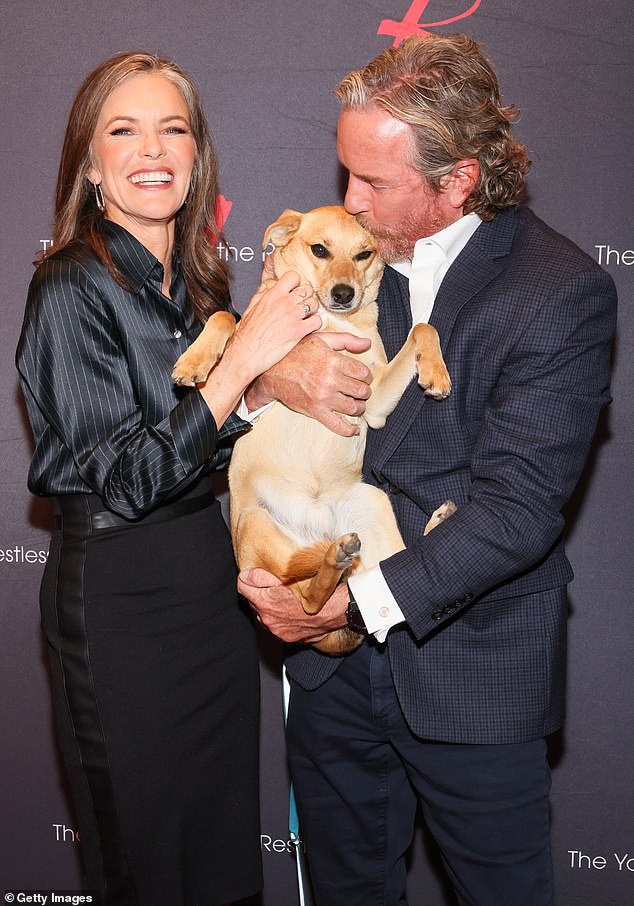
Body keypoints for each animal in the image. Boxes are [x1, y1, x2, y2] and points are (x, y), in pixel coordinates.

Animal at [172, 207, 450, 648]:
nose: (344, 293)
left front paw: (436, 373)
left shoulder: (371, 401)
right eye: (320, 250)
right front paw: (193, 361)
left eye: (364, 254)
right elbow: (224, 317)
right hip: (255, 522)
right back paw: (332, 559)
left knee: (367, 582)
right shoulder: (254, 344)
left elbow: (424, 328)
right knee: (304, 597)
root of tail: (317, 531)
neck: (327, 322)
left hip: (371, 503)